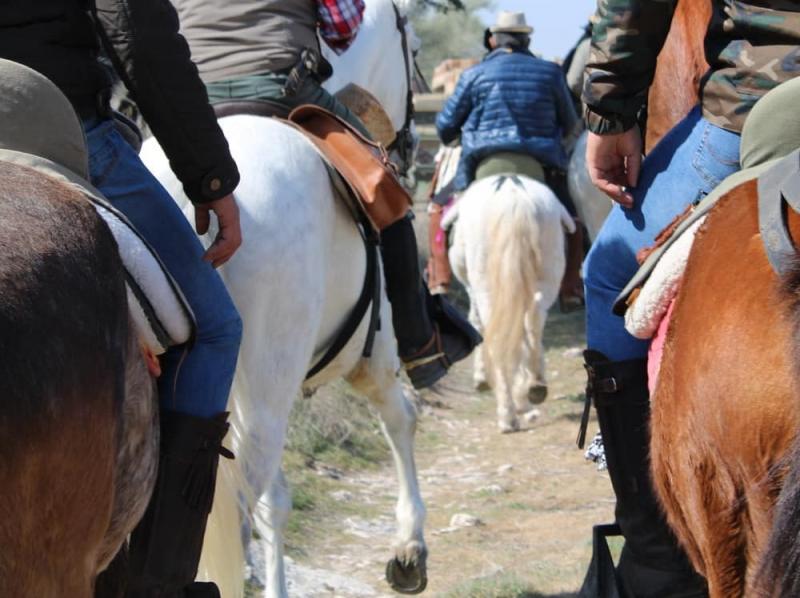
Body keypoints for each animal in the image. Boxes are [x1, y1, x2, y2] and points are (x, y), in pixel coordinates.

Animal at [139, 2, 424, 596]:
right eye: (415, 50)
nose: (409, 144)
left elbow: (277, 501)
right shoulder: (370, 355)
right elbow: (400, 417)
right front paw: (410, 546)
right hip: (271, 385)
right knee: (235, 515)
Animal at [444, 176, 576, 434]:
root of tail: (513, 194)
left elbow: (477, 325)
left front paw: (482, 379)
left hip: (485, 283)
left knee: (498, 337)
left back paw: (507, 414)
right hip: (549, 271)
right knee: (534, 316)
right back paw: (535, 384)